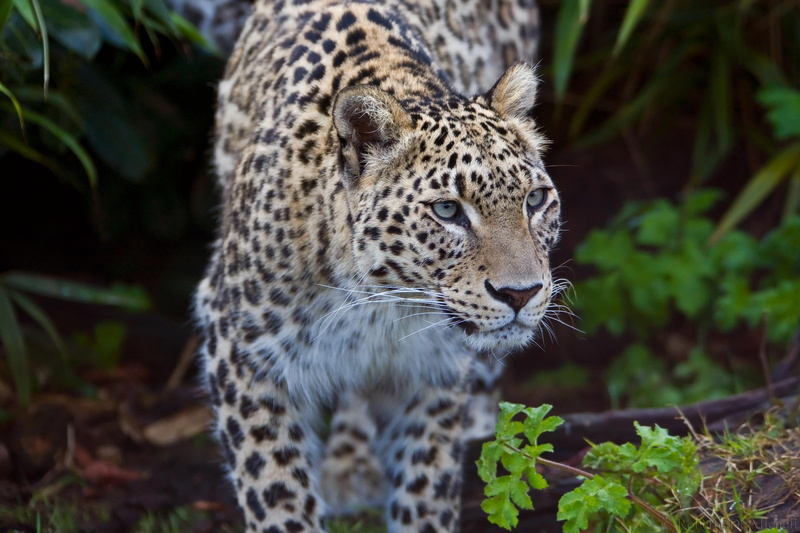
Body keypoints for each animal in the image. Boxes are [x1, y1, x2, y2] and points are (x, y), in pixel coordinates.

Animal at [191, 1, 562, 531]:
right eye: (447, 211)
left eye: (534, 201)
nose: (521, 293)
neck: (375, 299)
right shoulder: (241, 352)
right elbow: (276, 490)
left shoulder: (434, 372)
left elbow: (426, 488)